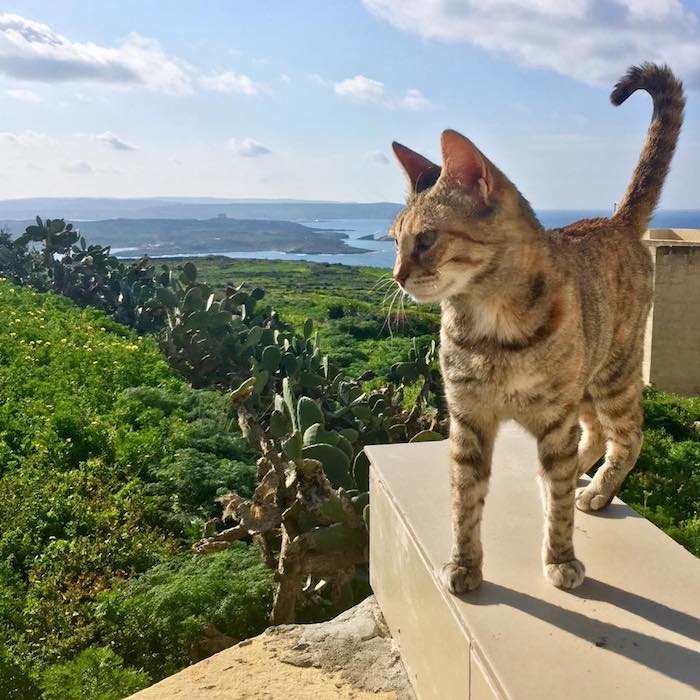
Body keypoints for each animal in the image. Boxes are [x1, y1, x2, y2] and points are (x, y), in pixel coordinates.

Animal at [392, 64, 688, 592]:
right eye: (393, 240)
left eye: (425, 239)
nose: (397, 275)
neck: (491, 324)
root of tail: (615, 221)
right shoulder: (468, 418)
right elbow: (464, 502)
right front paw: (464, 564)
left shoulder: (553, 418)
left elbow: (560, 506)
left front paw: (561, 556)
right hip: (584, 389)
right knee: (593, 436)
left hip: (612, 377)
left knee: (626, 437)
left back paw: (595, 491)